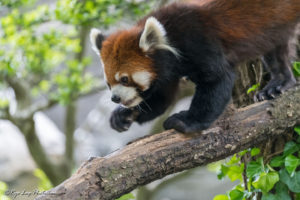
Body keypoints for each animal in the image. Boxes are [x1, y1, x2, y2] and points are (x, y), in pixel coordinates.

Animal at [89, 0, 300, 134]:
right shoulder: (167, 72)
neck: (170, 38)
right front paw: (123, 115)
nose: (115, 98)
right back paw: (280, 83)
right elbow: (161, 99)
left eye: (124, 79)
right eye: (108, 83)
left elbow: (217, 79)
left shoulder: (198, 40)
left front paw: (187, 121)